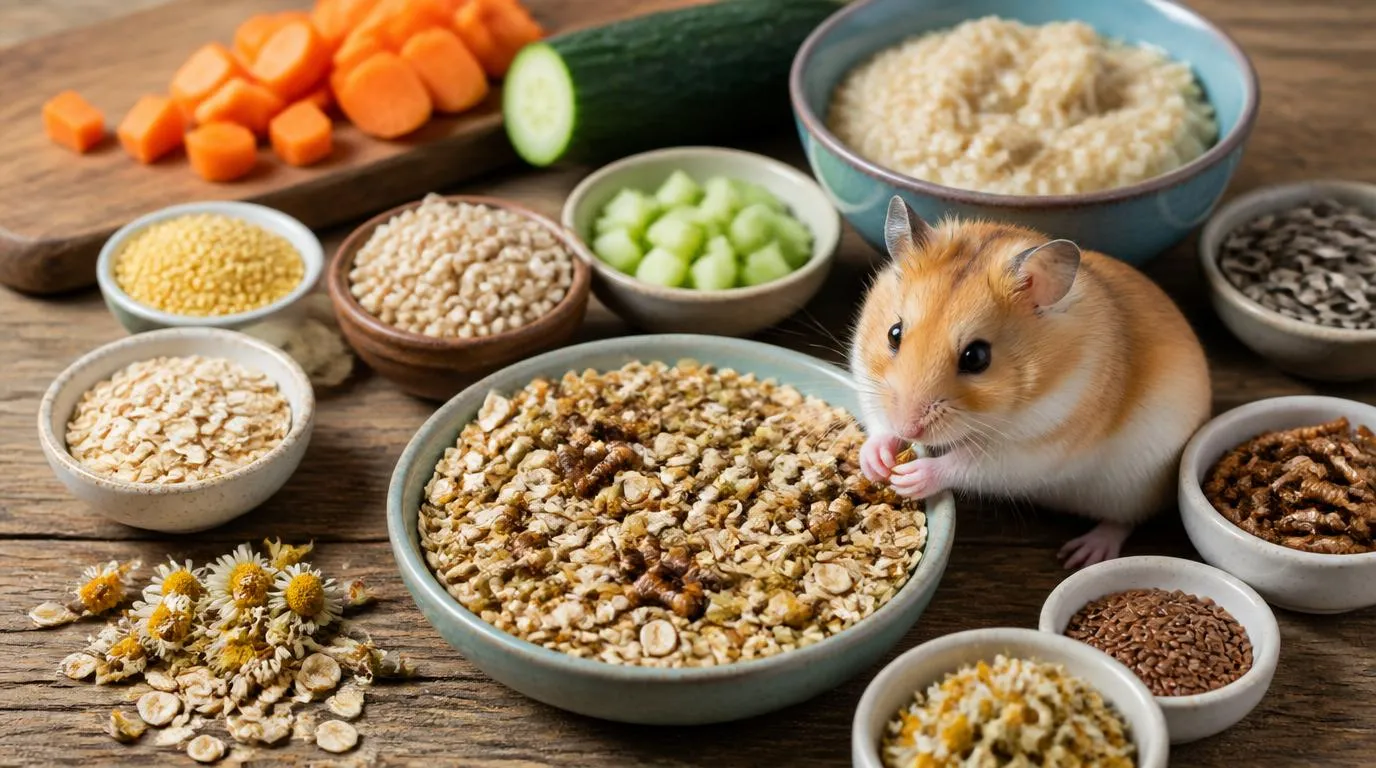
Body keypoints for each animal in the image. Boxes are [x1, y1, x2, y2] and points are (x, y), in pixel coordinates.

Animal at [850, 196, 1211, 568]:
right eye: (894, 334)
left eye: (977, 357)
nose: (907, 429)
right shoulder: (866, 378)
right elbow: (879, 424)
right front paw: (876, 463)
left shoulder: (1031, 451)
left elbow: (965, 464)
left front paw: (909, 478)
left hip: (1132, 488)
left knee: (1121, 523)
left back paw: (1081, 556)